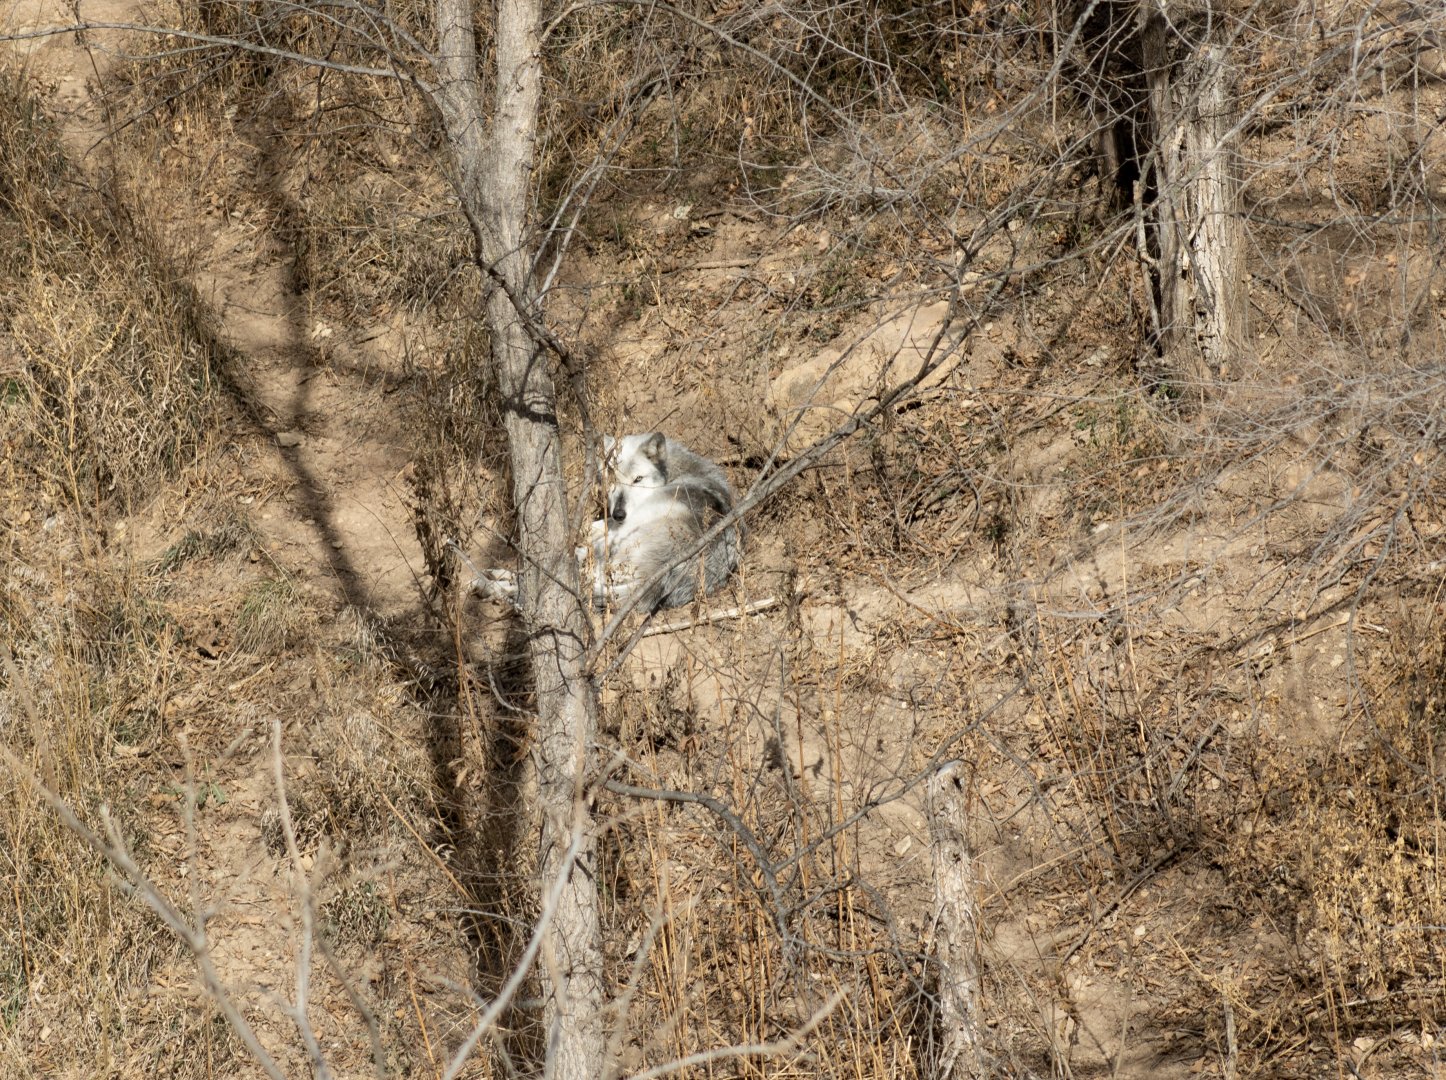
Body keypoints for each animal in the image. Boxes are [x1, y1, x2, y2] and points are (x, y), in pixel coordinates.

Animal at [471, 433, 742, 612]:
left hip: (618, 545)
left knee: (572, 574)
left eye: (638, 479)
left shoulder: (615, 527)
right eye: (611, 480)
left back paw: (491, 584)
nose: (620, 513)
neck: (676, 470)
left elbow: (586, 534)